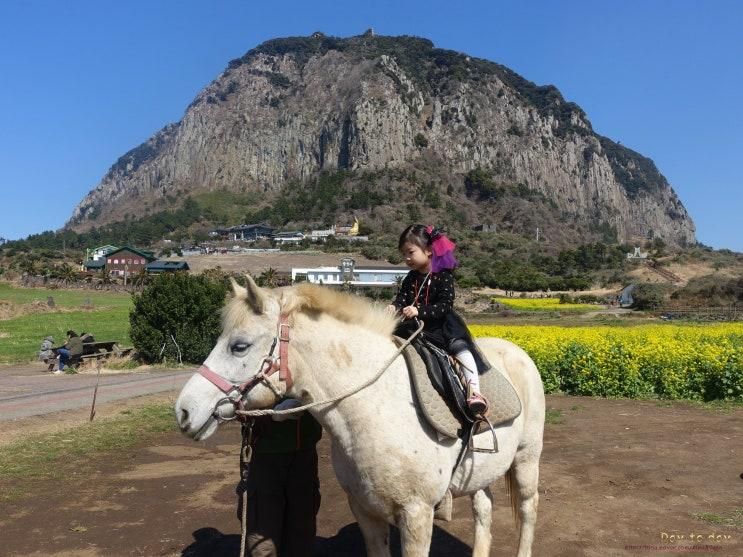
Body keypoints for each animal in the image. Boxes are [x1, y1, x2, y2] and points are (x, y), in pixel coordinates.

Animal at [175, 278, 548, 556]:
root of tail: (518, 352)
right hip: (482, 472)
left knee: (529, 509)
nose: (183, 411)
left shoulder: (417, 515)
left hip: (526, 459)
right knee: (484, 509)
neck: (374, 409)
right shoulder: (365, 512)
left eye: (239, 346)